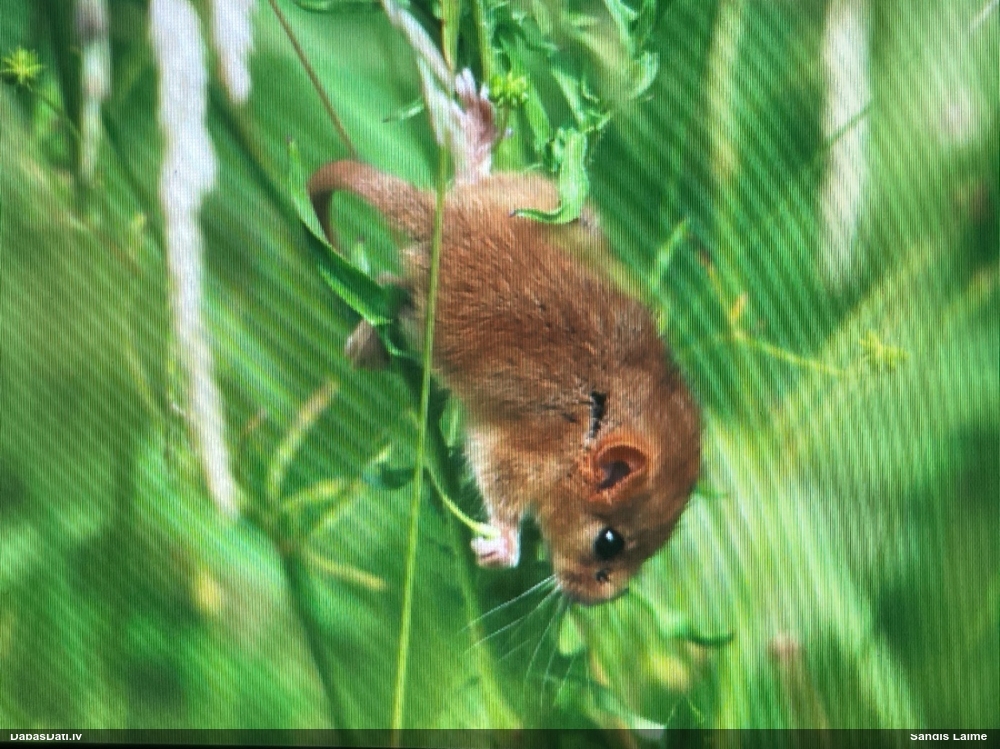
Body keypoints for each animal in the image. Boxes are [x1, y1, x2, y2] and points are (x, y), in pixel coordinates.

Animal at [308, 160, 700, 604]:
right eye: (608, 542)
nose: (603, 600)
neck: (590, 427)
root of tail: (438, 216)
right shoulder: (512, 453)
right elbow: (503, 504)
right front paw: (500, 548)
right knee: (397, 291)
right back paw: (365, 343)